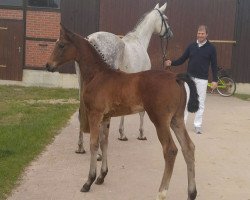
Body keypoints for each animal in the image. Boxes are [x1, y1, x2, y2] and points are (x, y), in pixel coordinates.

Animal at [46, 25, 199, 200]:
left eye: (61, 45)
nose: (48, 65)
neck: (98, 74)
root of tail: (175, 78)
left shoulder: (95, 114)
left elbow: (94, 143)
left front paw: (89, 181)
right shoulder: (106, 117)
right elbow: (104, 142)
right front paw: (101, 176)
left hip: (160, 120)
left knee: (170, 150)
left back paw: (161, 192)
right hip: (176, 119)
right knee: (188, 147)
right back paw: (191, 193)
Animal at [75, 2, 173, 154]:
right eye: (166, 19)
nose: (170, 34)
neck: (139, 41)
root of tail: (90, 40)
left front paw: (122, 134)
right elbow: (141, 112)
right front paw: (141, 134)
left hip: (82, 84)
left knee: (82, 112)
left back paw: (81, 147)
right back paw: (98, 153)